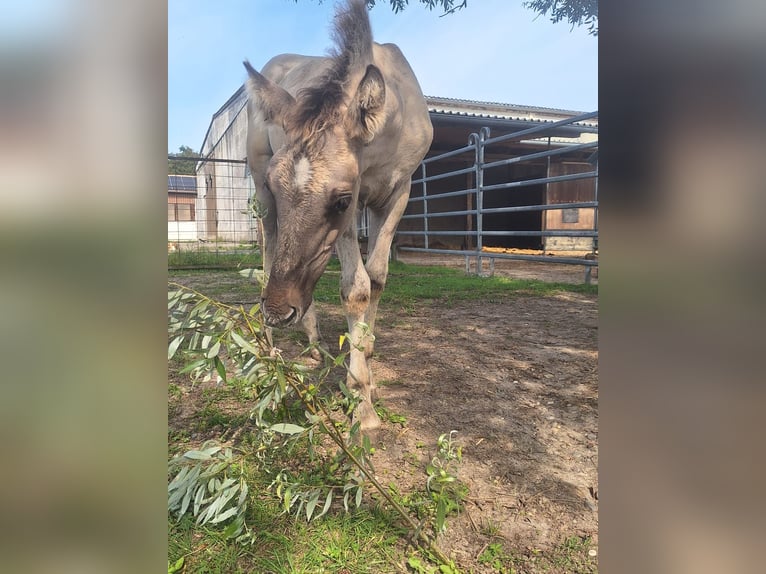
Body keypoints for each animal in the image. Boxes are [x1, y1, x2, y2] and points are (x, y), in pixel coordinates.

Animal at [244, 0, 433, 430]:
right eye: (279, 188)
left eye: (340, 201)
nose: (278, 310)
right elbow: (355, 288)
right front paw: (361, 404)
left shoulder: (394, 194)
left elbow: (376, 279)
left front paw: (369, 378)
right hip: (259, 188)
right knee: (269, 254)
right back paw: (270, 351)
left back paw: (313, 341)